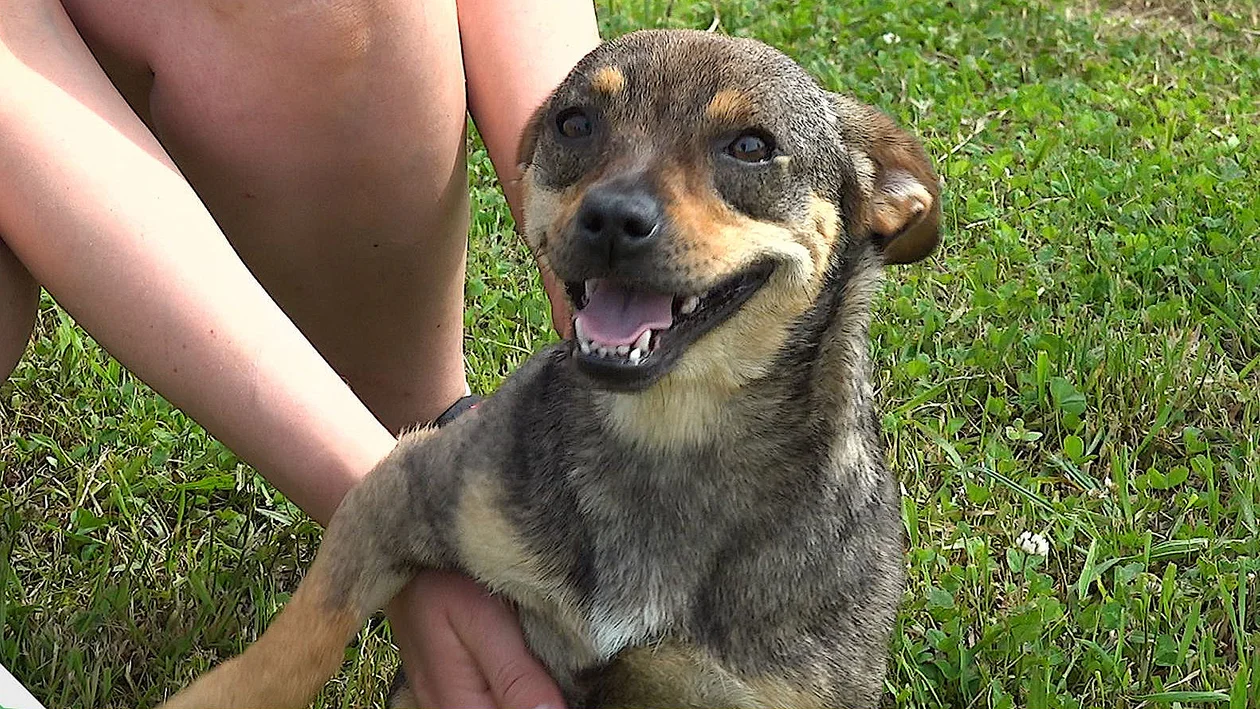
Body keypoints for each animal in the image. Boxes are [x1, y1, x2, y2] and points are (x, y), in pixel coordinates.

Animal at [162, 29, 942, 709]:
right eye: (575, 123)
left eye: (751, 146)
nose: (613, 217)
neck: (664, 434)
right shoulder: (403, 487)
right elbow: (303, 636)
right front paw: (215, 698)